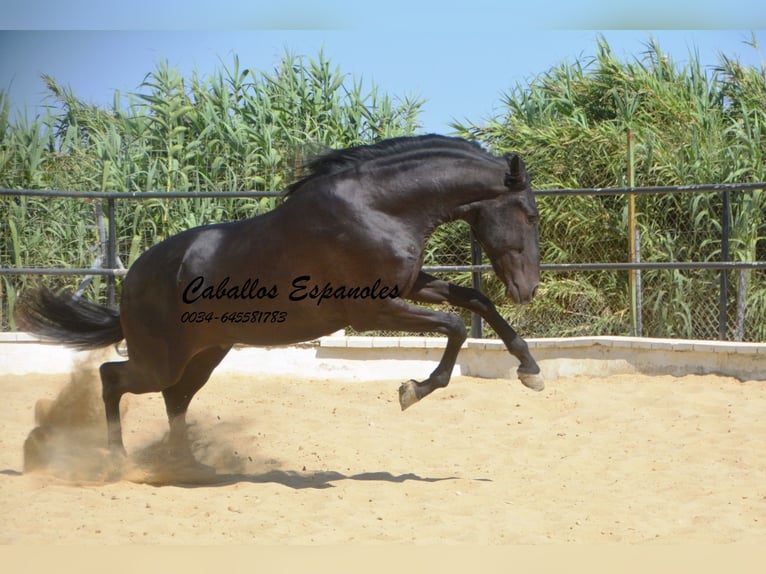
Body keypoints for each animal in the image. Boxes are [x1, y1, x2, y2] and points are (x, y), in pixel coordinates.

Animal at [18, 133, 544, 456]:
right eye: (530, 214)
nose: (527, 288)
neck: (377, 208)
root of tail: (132, 280)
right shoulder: (372, 307)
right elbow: (455, 325)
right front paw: (413, 390)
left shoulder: (410, 286)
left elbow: (475, 302)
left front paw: (530, 370)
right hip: (162, 359)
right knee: (112, 378)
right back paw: (115, 458)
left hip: (205, 354)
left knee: (174, 400)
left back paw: (185, 465)